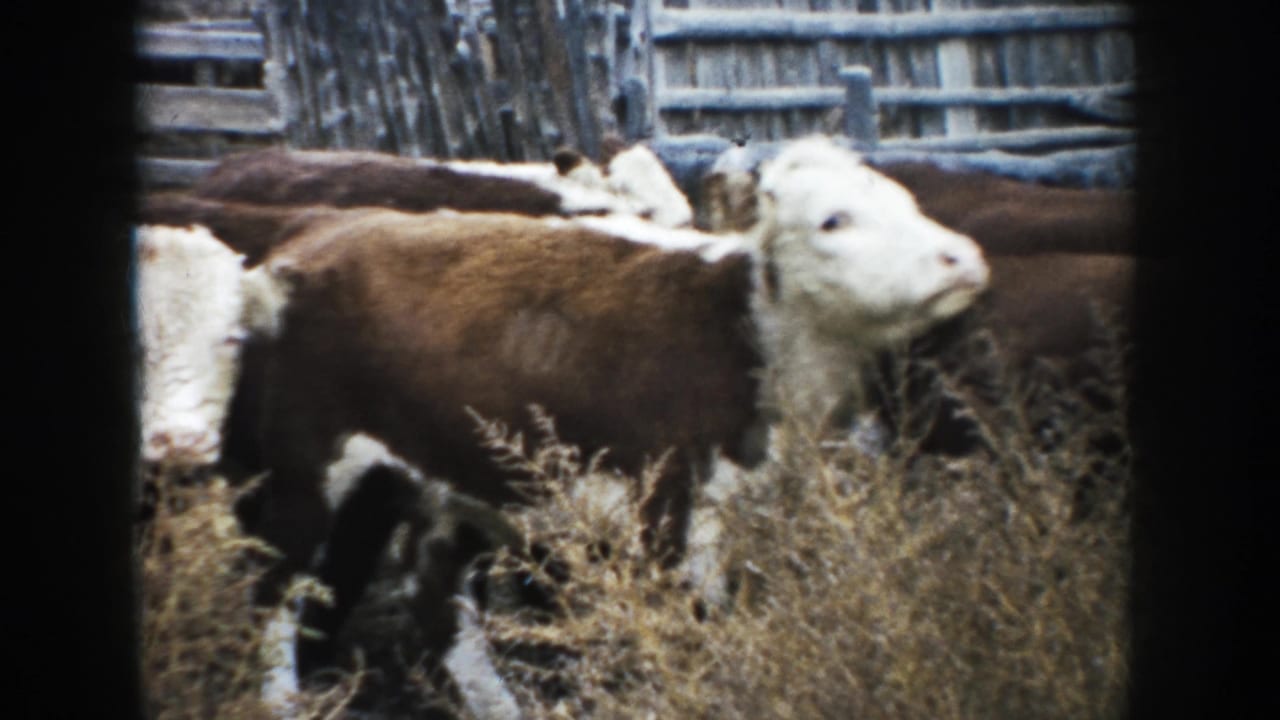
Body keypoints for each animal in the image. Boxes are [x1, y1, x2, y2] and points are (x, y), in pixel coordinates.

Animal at [223, 136, 989, 694]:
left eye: (908, 203)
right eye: (833, 219)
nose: (963, 259)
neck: (744, 328)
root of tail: (314, 234)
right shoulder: (669, 516)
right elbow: (694, 640)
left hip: (450, 487)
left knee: (438, 614)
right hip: (304, 475)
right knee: (274, 596)